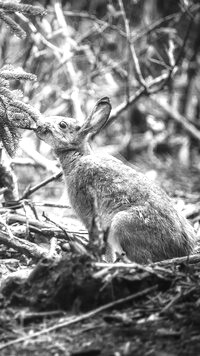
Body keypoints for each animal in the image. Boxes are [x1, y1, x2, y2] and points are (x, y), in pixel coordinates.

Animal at [36, 97, 197, 264]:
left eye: (62, 124)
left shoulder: (89, 214)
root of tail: (181, 250)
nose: (38, 126)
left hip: (122, 223)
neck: (78, 156)